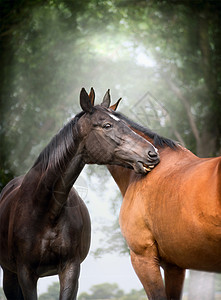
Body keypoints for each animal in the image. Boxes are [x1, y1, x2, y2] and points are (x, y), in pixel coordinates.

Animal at [0, 89, 159, 300]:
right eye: (107, 125)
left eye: (125, 124)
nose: (153, 153)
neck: (45, 210)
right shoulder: (26, 273)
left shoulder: (70, 269)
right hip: (9, 274)